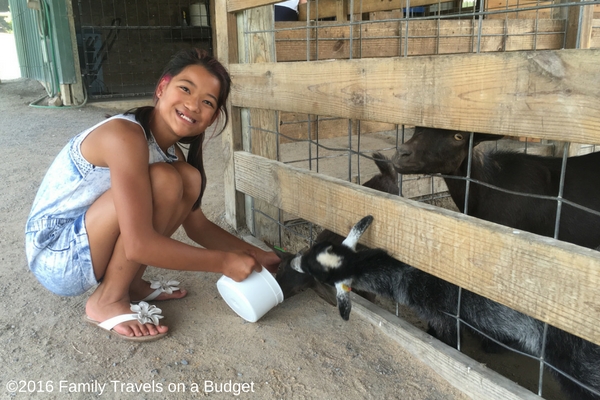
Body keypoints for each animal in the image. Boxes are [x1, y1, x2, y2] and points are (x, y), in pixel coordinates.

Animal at [290, 216, 600, 400]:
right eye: (315, 249)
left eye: (315, 272)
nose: (293, 262)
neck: (406, 273)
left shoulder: (442, 313)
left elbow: (449, 338)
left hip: (577, 359)